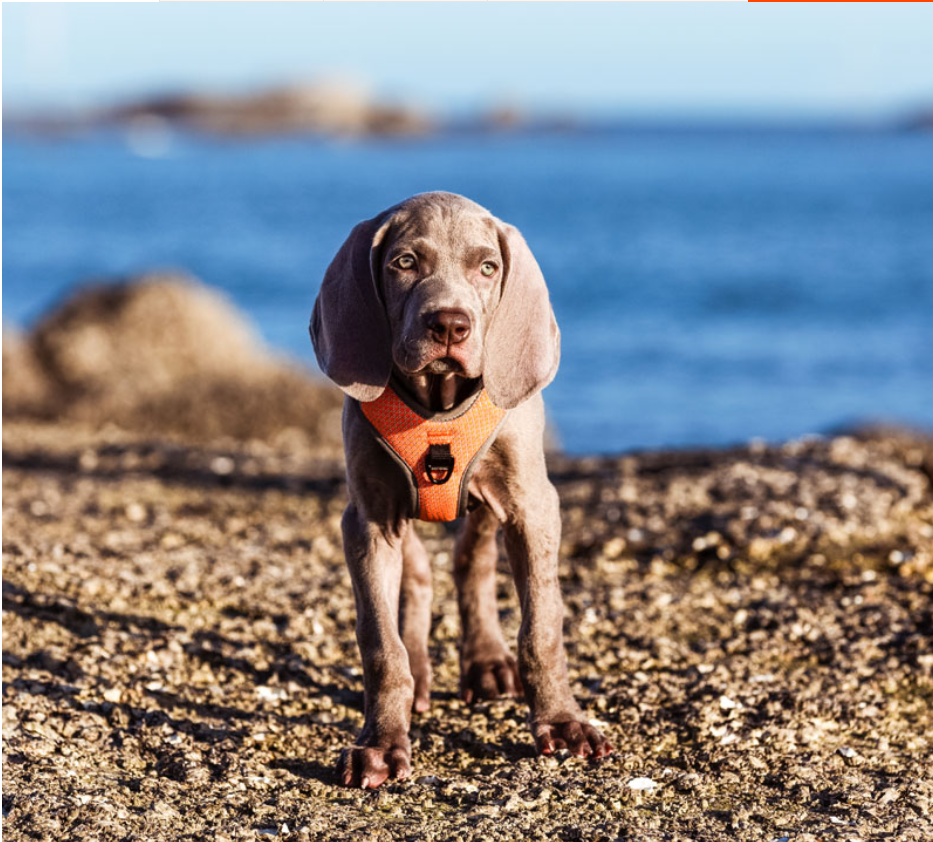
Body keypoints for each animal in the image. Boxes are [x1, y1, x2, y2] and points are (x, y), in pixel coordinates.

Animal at [308, 190, 612, 788]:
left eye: (487, 267)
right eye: (404, 263)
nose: (450, 325)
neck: (438, 401)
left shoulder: (532, 505)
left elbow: (541, 626)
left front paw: (562, 723)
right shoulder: (369, 518)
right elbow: (380, 641)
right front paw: (381, 744)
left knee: (472, 562)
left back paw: (488, 662)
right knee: (419, 579)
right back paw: (424, 675)